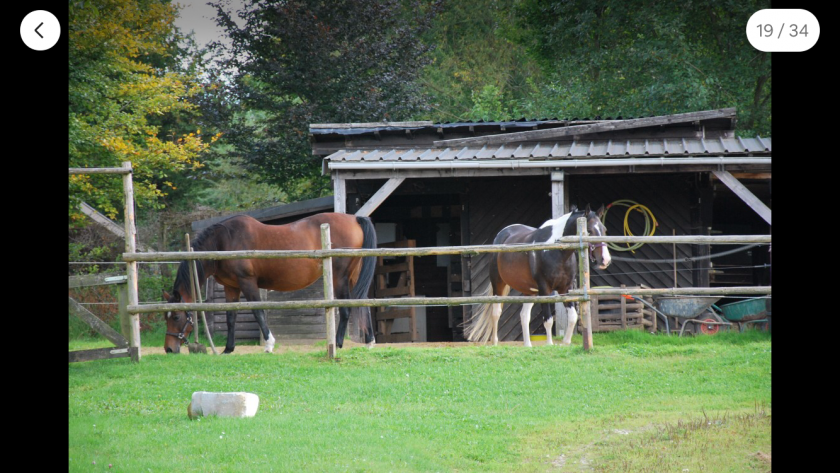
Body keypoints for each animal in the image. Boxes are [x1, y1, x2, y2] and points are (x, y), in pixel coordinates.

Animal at [162, 214, 378, 354]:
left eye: (176, 317)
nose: (169, 348)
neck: (224, 242)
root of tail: (354, 218)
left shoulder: (247, 282)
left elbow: (258, 311)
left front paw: (269, 344)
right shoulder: (232, 286)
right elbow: (231, 316)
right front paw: (228, 349)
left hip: (340, 276)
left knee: (346, 308)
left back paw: (339, 343)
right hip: (354, 275)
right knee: (363, 302)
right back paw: (369, 342)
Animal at [466, 204, 612, 346]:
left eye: (604, 230)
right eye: (589, 230)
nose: (605, 260)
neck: (557, 252)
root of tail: (502, 234)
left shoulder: (565, 289)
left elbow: (572, 317)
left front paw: (566, 342)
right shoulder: (544, 289)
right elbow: (548, 320)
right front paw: (550, 344)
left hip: (530, 291)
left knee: (524, 315)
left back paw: (528, 345)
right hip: (499, 284)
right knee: (496, 313)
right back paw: (495, 343)